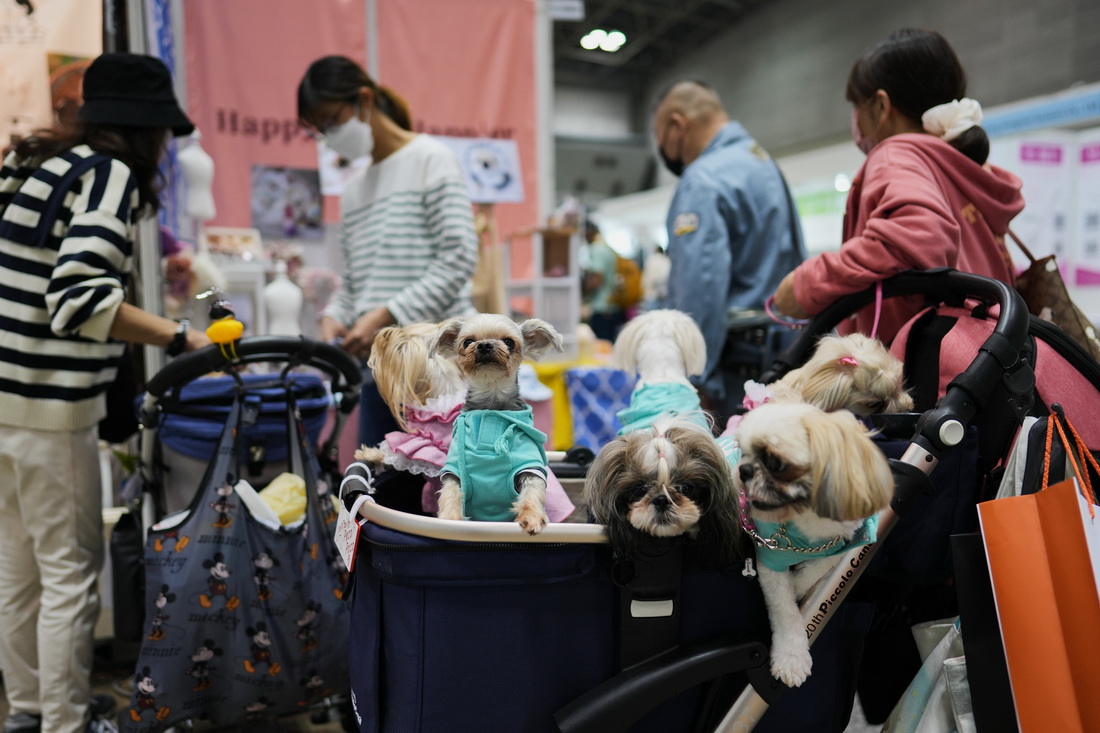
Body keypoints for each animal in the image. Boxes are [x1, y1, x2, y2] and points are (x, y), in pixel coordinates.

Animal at [429, 312, 567, 530]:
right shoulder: (454, 470)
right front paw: (450, 519)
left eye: (509, 342)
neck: (492, 403)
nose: (485, 345)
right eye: (468, 341)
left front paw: (532, 516)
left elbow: (533, 490)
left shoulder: (529, 467)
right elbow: (450, 492)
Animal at [730, 400, 893, 686]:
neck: (807, 518)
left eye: (775, 462)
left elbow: (824, 563)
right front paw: (791, 658)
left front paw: (798, 583)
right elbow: (784, 609)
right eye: (743, 452)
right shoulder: (771, 559)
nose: (743, 470)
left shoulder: (848, 539)